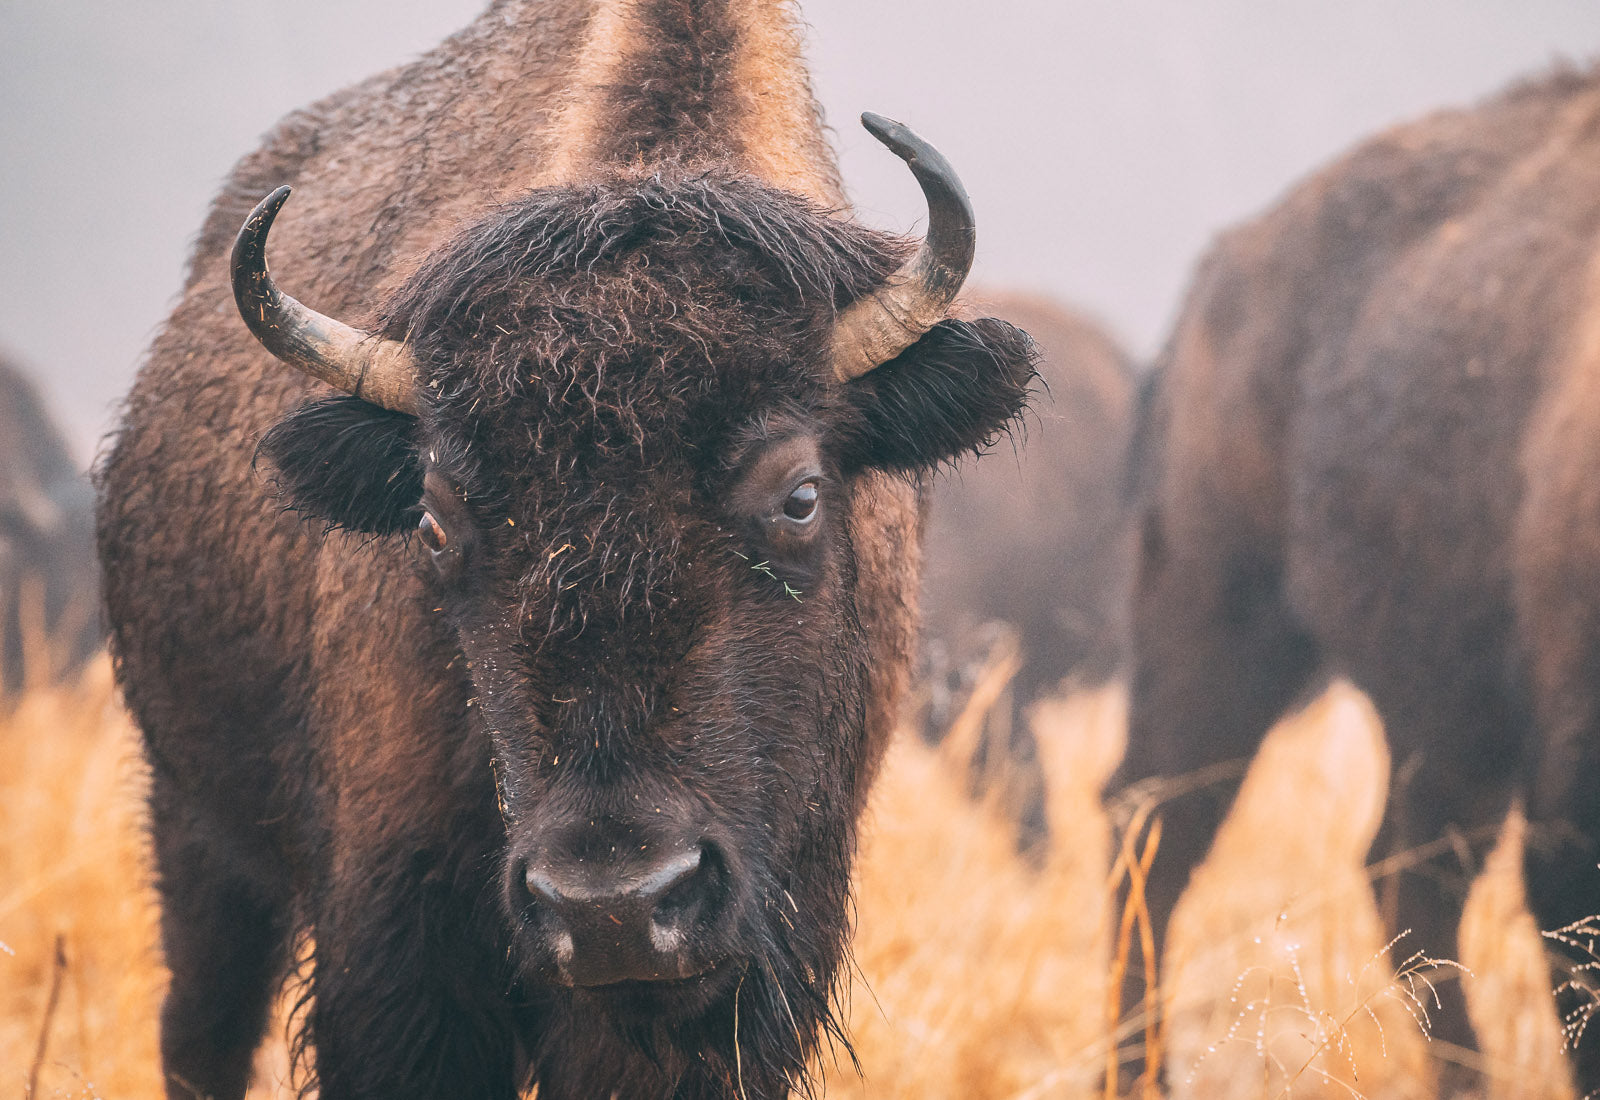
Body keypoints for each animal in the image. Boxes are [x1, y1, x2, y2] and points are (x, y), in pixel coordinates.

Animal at [95, 2, 1035, 1098]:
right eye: (432, 519)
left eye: (801, 496)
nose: (613, 906)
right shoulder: (399, 947)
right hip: (193, 825)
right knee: (203, 1024)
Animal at [1121, 65, 1600, 1090]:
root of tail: (1221, 268)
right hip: (1218, 627)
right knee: (1153, 833)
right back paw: (1135, 1073)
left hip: (1443, 709)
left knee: (1409, 878)